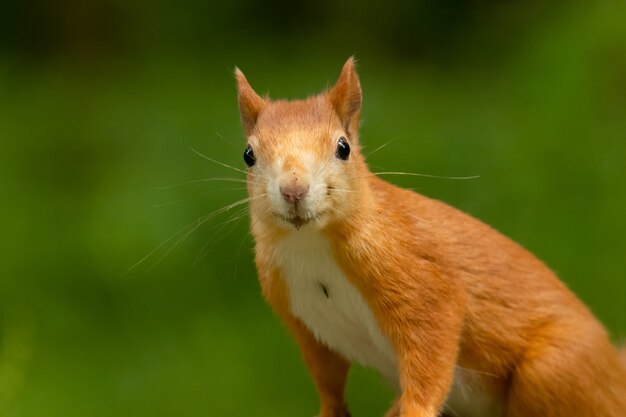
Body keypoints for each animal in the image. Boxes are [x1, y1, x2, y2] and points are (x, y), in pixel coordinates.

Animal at [234, 58, 624, 416]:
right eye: (248, 154)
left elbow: (430, 358)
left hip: (552, 372)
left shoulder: (422, 281)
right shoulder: (304, 321)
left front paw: (415, 409)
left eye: (343, 147)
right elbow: (328, 382)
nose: (294, 189)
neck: (311, 245)